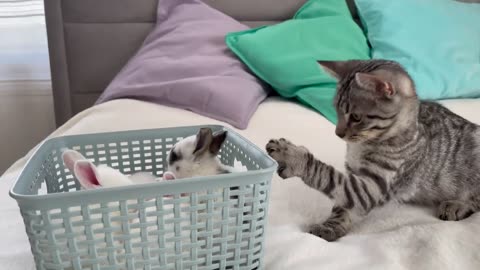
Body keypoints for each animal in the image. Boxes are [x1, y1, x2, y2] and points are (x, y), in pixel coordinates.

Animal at [266, 60, 480, 242]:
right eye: (336, 111)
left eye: (356, 116)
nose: (337, 133)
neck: (363, 145)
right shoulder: (353, 174)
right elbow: (341, 207)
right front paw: (330, 227)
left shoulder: (370, 187)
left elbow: (329, 176)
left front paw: (292, 156)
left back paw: (457, 205)